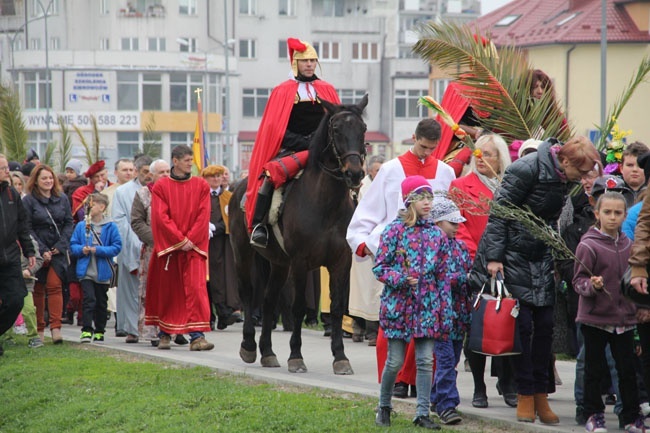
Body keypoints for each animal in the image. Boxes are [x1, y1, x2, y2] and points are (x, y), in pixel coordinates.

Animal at [230, 95, 368, 374]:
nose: (355, 173)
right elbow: (298, 307)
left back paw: (268, 352)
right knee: (248, 293)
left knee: (269, 300)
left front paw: (340, 357)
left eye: (363, 129)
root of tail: (238, 187)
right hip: (243, 253)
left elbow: (337, 307)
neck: (325, 206)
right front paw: (296, 357)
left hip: (279, 263)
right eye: (336, 129)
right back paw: (249, 346)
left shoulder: (341, 262)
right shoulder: (301, 262)